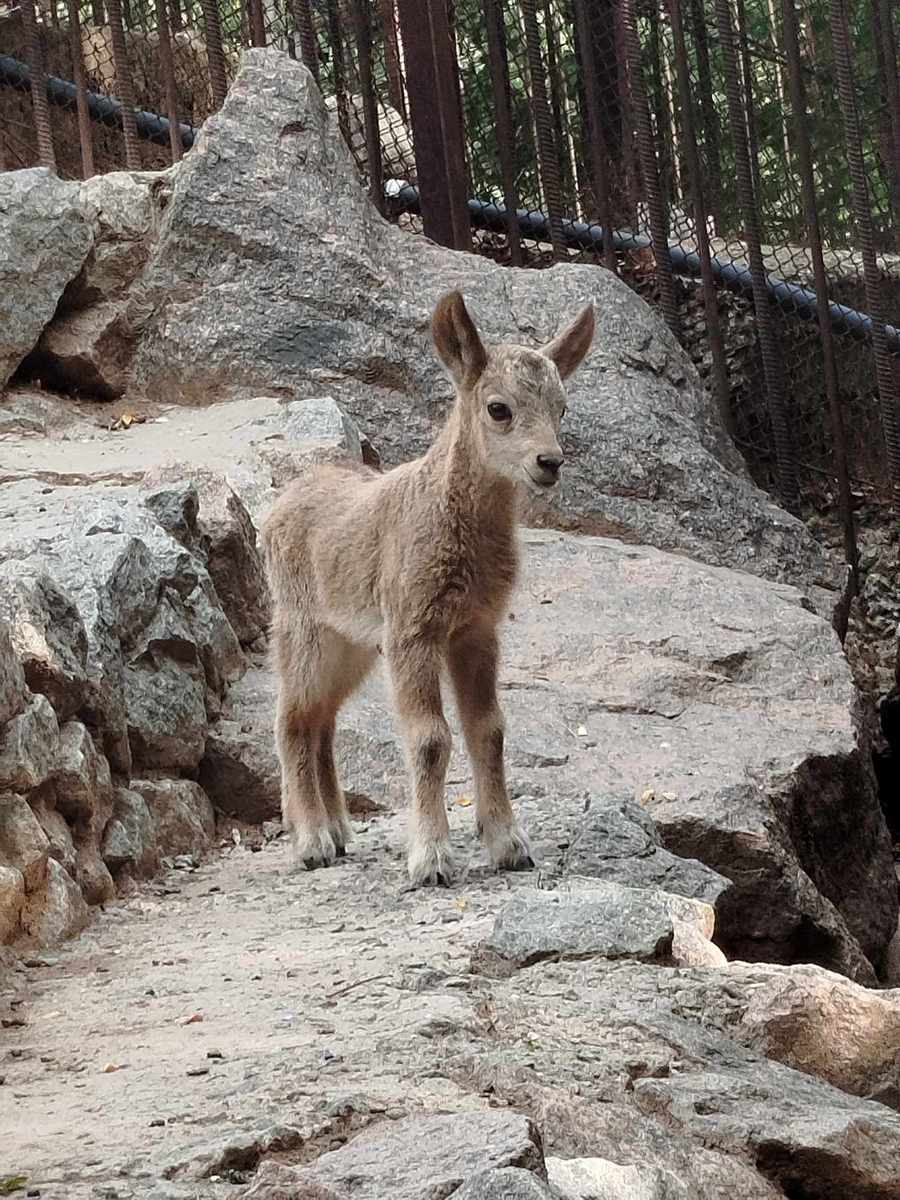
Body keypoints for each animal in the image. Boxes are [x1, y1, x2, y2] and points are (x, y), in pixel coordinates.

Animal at [262, 292, 600, 883]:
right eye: (498, 408)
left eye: (562, 408)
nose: (550, 462)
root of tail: (275, 512)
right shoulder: (413, 629)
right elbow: (429, 738)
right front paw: (431, 859)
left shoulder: (476, 629)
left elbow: (488, 729)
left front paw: (508, 844)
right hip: (303, 628)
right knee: (291, 718)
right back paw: (311, 841)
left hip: (352, 644)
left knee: (323, 719)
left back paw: (339, 830)